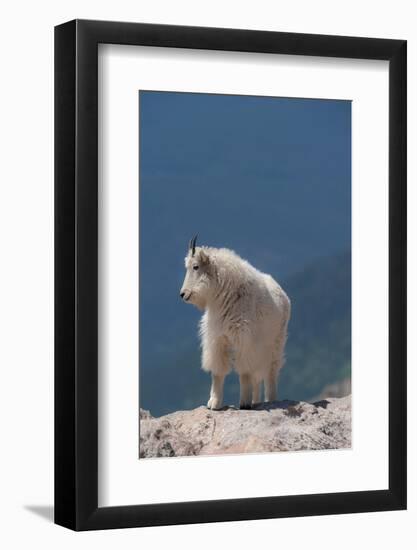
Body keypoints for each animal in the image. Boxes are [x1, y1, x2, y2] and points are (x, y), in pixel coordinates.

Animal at [180, 235, 290, 412]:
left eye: (195, 267)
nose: (183, 294)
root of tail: (284, 294)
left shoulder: (244, 340)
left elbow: (244, 372)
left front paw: (244, 403)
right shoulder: (218, 339)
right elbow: (218, 372)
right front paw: (214, 404)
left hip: (276, 342)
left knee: (270, 371)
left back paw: (270, 399)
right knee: (257, 376)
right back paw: (256, 401)